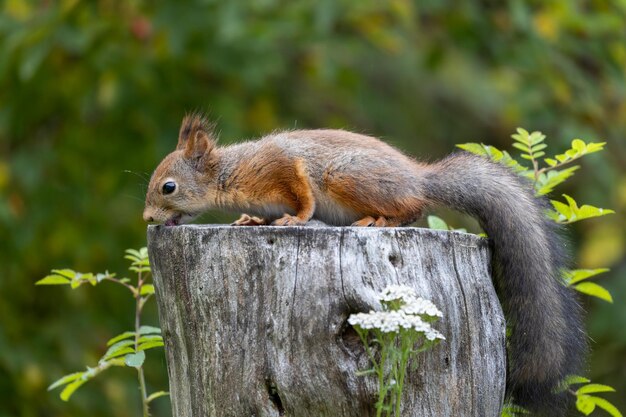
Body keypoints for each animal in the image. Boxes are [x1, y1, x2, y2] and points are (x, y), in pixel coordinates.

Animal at [144, 112, 584, 414]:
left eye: (169, 187)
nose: (147, 219)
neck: (229, 173)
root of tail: (418, 177)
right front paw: (253, 221)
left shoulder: (281, 165)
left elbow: (302, 192)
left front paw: (296, 218)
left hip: (346, 175)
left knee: (412, 207)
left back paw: (379, 219)